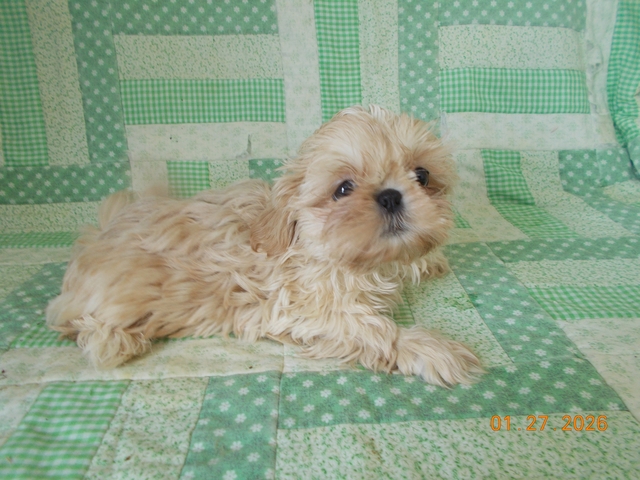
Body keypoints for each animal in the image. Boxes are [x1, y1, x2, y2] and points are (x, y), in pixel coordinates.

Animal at [46, 105, 483, 386]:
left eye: (422, 175)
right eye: (343, 189)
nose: (391, 196)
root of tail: (96, 235)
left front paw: (429, 261)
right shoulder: (297, 307)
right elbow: (373, 327)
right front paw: (429, 347)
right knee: (86, 330)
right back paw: (117, 341)